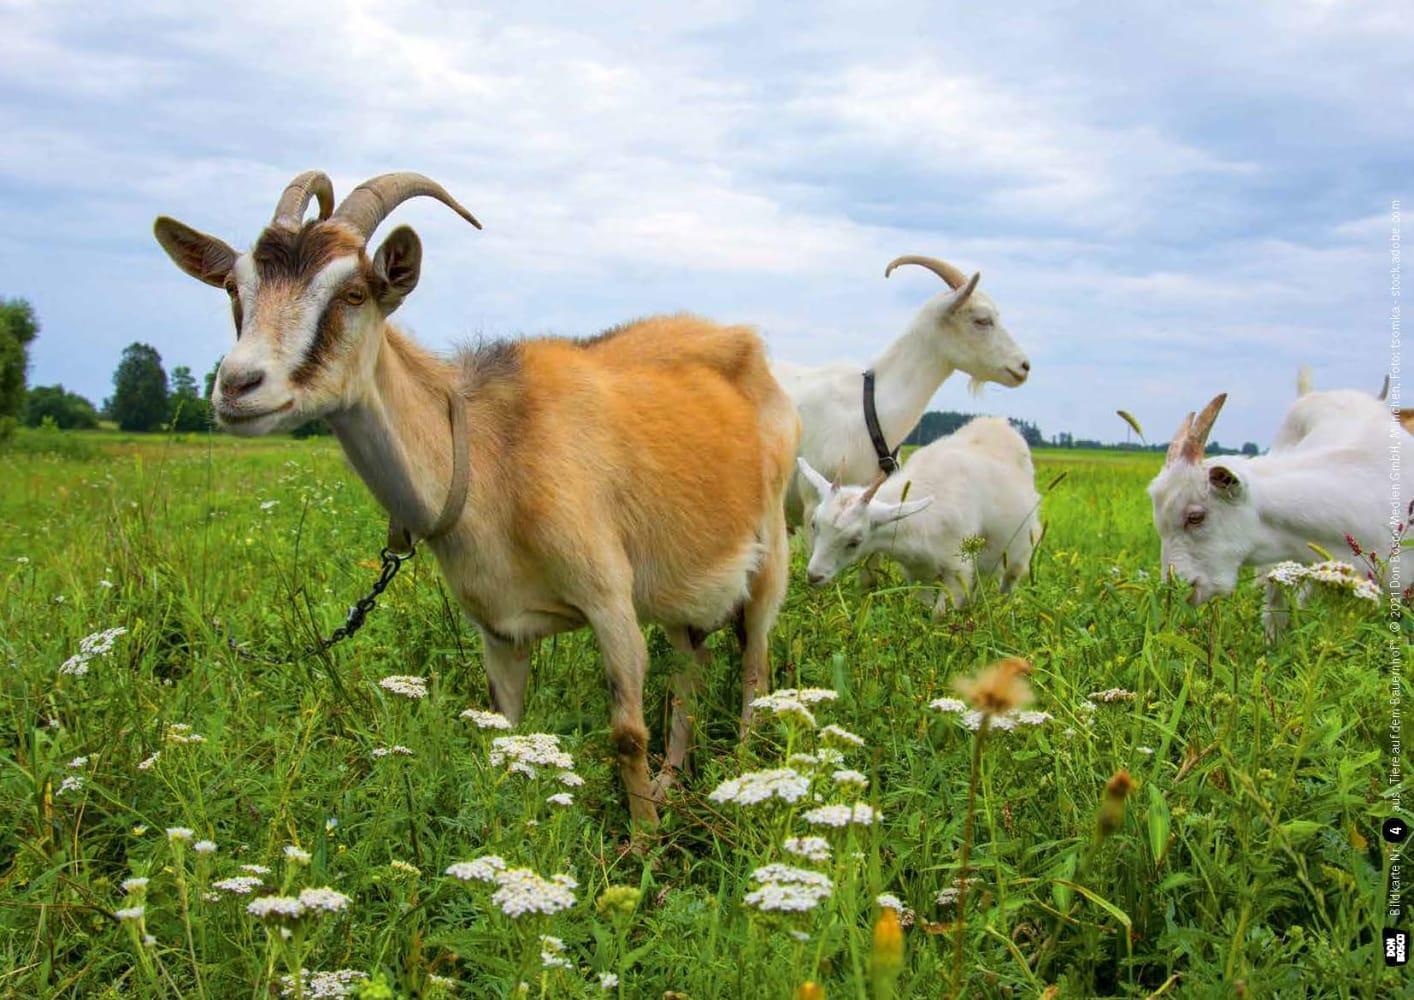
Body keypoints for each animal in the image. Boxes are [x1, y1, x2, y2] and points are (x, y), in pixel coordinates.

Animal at [154, 171, 803, 826]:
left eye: (355, 293)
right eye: (235, 288)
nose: (238, 386)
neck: (491, 458)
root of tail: (749, 345)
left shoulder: (610, 600)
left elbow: (626, 734)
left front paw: (642, 843)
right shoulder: (499, 629)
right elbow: (504, 735)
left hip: (770, 551)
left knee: (755, 667)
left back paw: (744, 777)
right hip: (680, 584)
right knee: (691, 664)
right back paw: (673, 780)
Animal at [797, 415, 1040, 616]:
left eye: (855, 541)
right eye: (814, 525)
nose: (814, 576)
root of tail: (1000, 424)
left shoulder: (957, 569)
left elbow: (940, 614)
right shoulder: (919, 573)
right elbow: (923, 607)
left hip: (1019, 551)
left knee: (1009, 581)